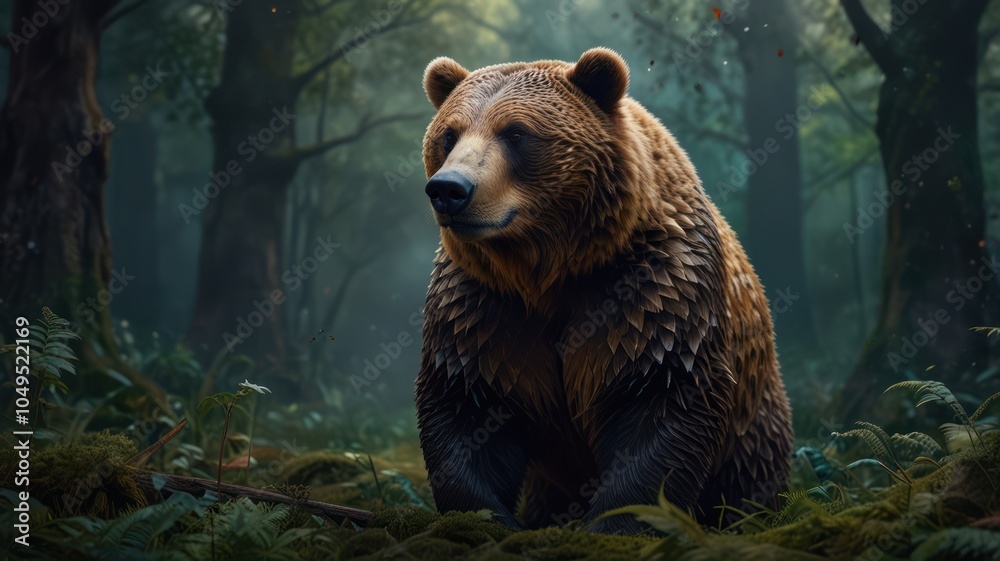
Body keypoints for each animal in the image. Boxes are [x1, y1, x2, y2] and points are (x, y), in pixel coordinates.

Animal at [414, 47, 793, 534]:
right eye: (449, 134)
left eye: (516, 132)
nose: (449, 189)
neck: (549, 269)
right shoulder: (483, 305)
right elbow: (466, 406)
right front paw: (485, 519)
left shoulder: (649, 292)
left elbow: (661, 397)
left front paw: (617, 522)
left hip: (752, 423)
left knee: (749, 479)